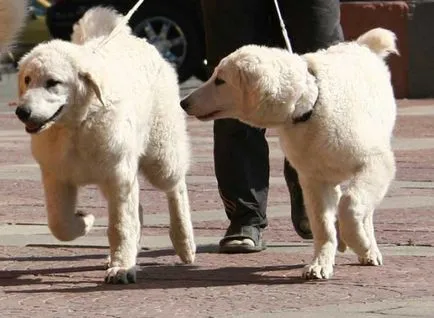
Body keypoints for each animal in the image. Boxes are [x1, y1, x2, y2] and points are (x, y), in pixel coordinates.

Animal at [15, 7, 195, 284]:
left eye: (52, 82)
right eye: (27, 79)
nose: (21, 112)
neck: (76, 126)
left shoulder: (118, 175)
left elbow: (120, 225)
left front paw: (121, 269)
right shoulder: (57, 176)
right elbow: (59, 224)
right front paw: (85, 221)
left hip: (161, 154)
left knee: (176, 188)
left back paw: (184, 242)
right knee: (138, 208)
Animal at [181, 28, 398, 280]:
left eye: (220, 80)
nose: (183, 102)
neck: (310, 106)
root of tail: (361, 45)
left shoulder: (376, 163)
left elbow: (351, 204)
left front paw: (359, 243)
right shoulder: (314, 179)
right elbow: (322, 224)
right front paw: (320, 264)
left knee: (362, 208)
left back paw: (368, 249)